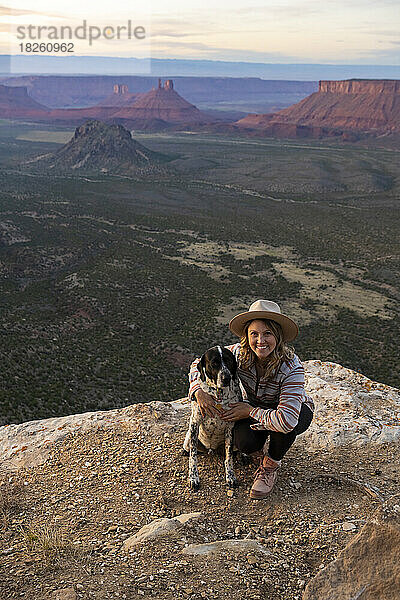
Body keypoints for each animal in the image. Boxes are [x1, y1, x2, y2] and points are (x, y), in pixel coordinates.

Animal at [184, 344, 244, 490]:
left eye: (229, 361)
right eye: (214, 363)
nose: (226, 378)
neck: (219, 393)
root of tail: (212, 449)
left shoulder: (230, 427)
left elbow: (229, 457)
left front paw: (230, 476)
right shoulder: (195, 423)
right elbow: (193, 457)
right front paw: (193, 477)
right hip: (188, 439)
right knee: (190, 449)